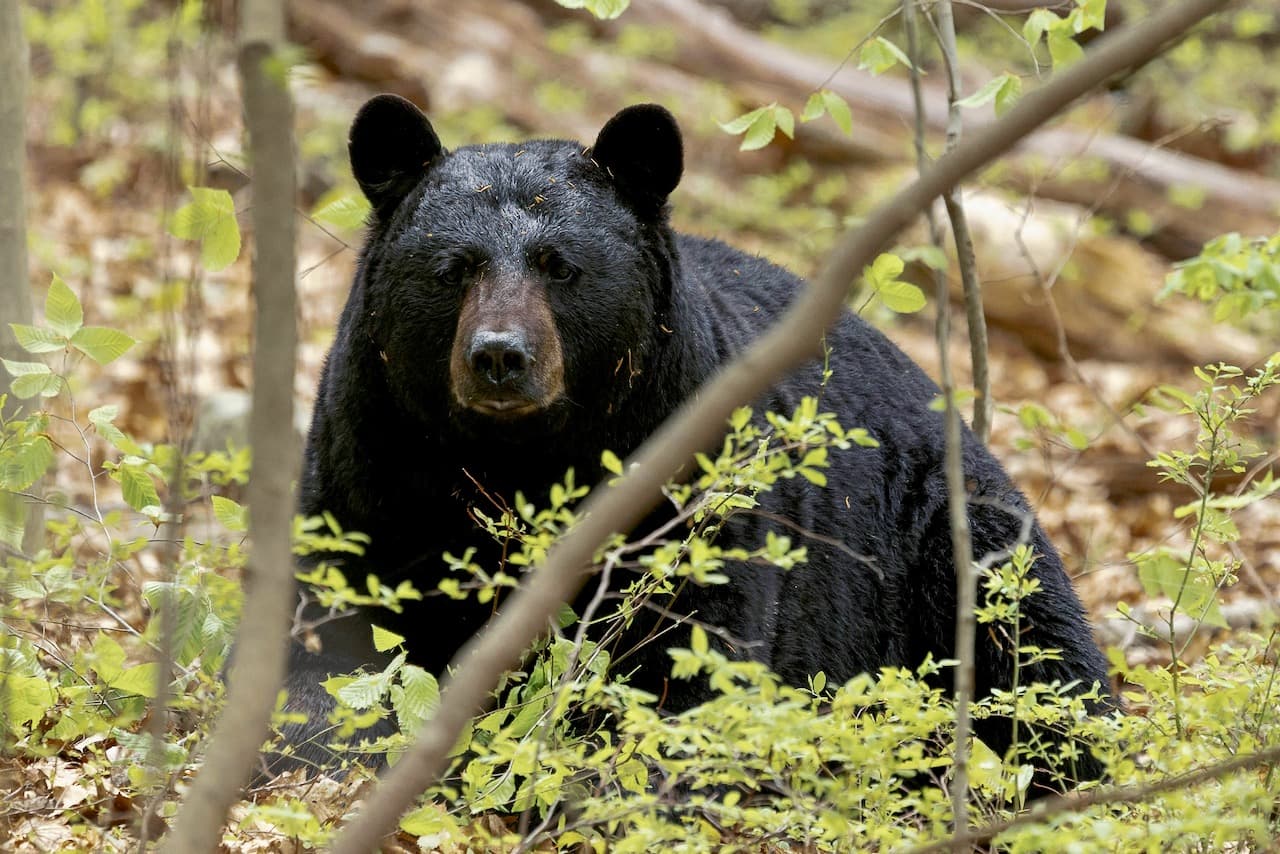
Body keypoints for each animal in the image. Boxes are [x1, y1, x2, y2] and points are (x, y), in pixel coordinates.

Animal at [273, 94, 1111, 791]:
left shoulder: (689, 478)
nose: (500, 356)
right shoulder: (372, 457)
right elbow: (330, 631)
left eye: (559, 266)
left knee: (1039, 654)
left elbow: (691, 653)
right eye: (453, 269)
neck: (518, 458)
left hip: (947, 537)